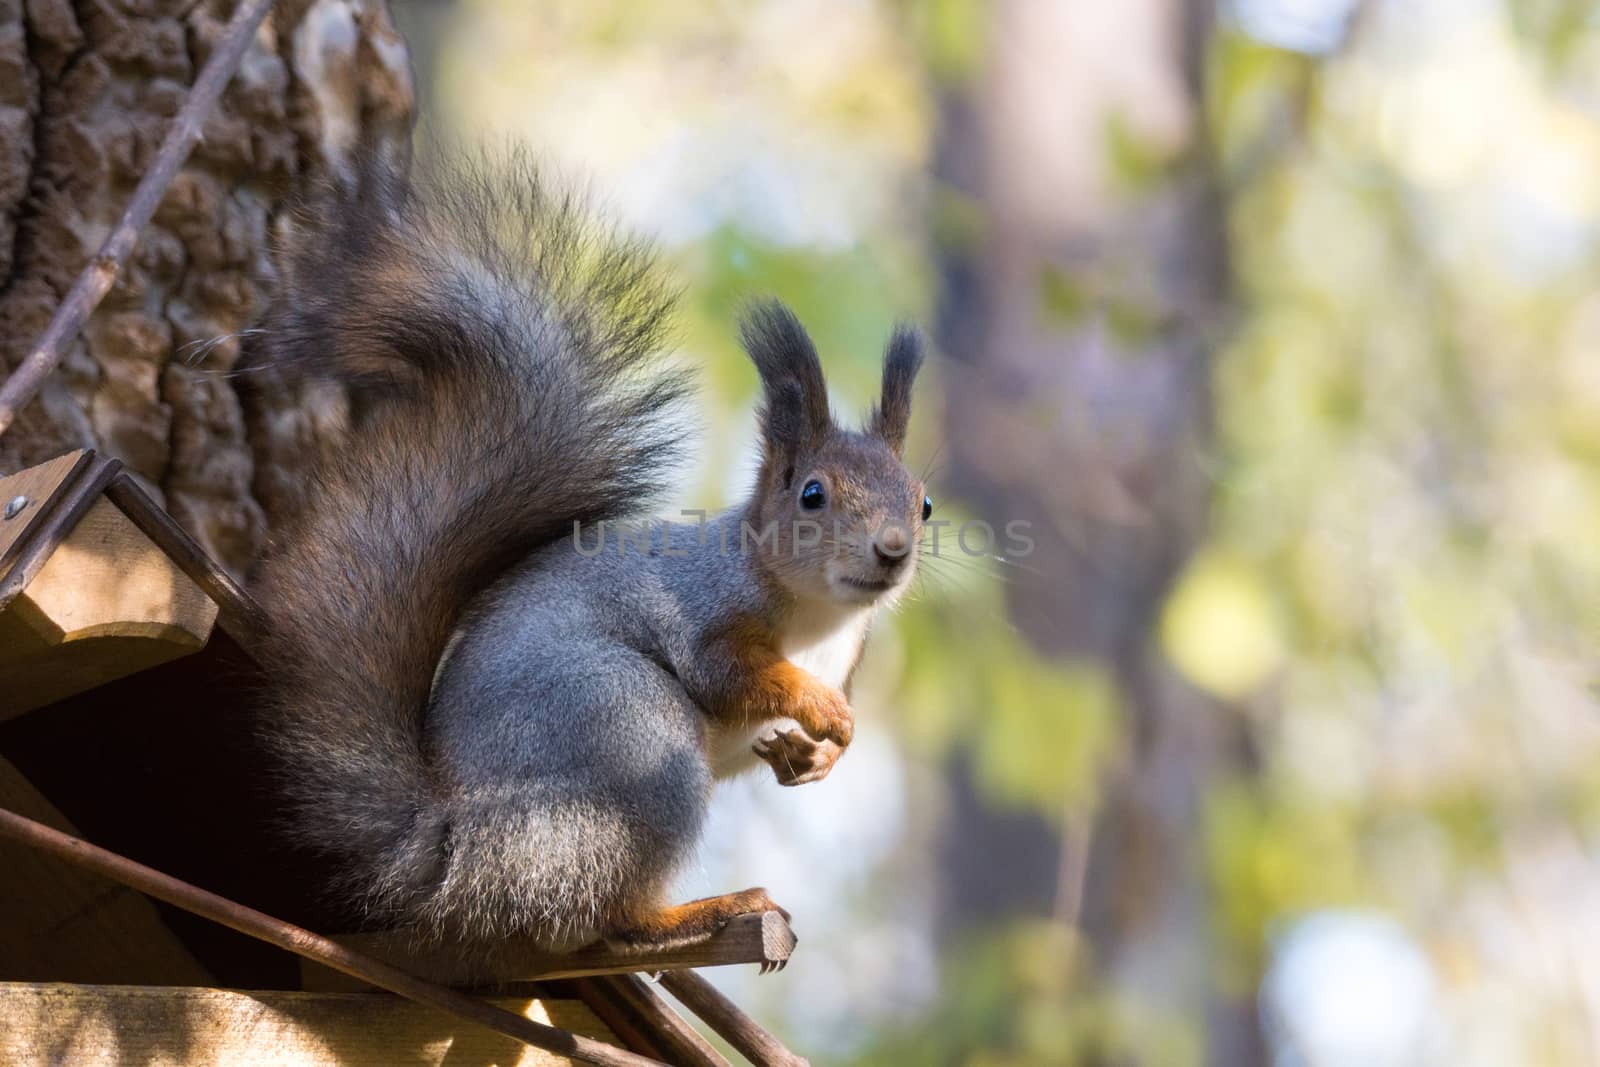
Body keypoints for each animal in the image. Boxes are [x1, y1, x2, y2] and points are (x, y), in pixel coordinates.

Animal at [254, 146, 934, 953]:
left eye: (924, 503)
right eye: (812, 495)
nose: (892, 551)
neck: (821, 619)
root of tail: (461, 853)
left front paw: (819, 754)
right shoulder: (707, 610)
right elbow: (728, 671)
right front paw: (821, 707)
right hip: (633, 737)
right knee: (606, 917)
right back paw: (703, 909)